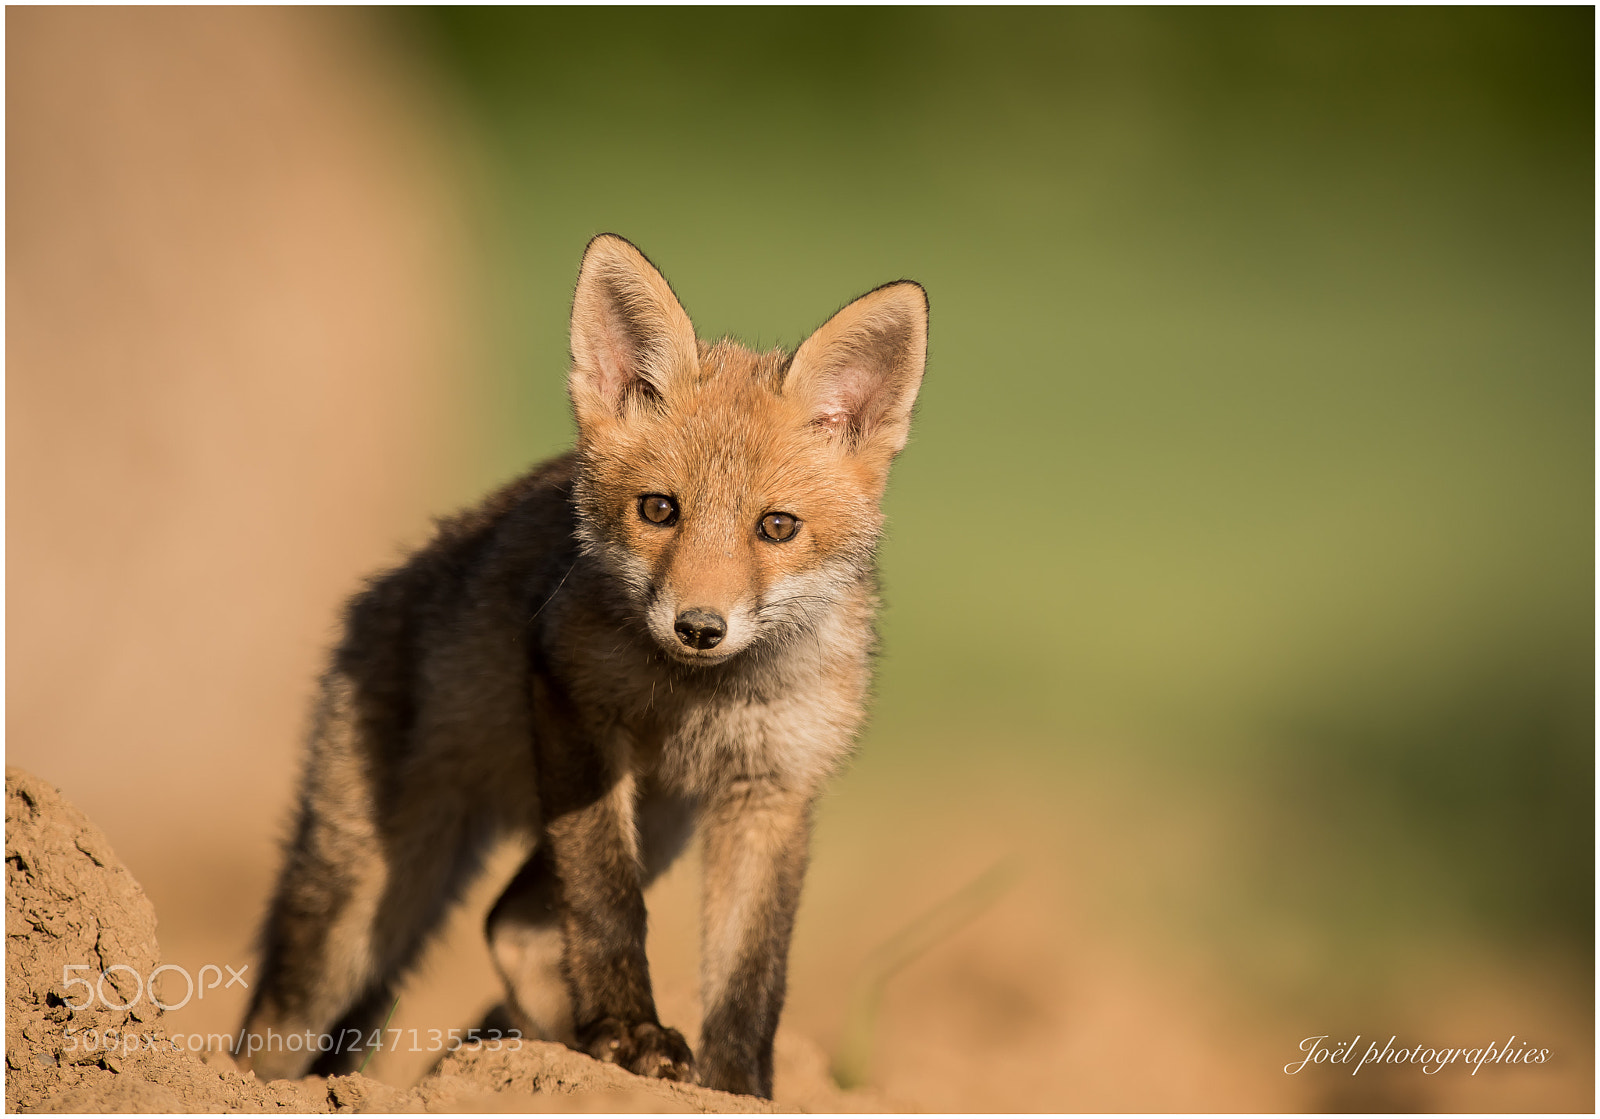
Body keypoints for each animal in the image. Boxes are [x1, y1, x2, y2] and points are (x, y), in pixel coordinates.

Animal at [234, 234, 927, 1098]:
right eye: (659, 509)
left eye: (777, 526)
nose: (699, 626)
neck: (700, 694)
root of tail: (385, 587)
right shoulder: (575, 706)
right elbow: (605, 904)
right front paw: (630, 1033)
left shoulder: (773, 787)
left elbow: (751, 971)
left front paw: (736, 1086)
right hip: (360, 903)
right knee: (278, 1024)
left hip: (659, 820)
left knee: (511, 922)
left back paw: (545, 1044)